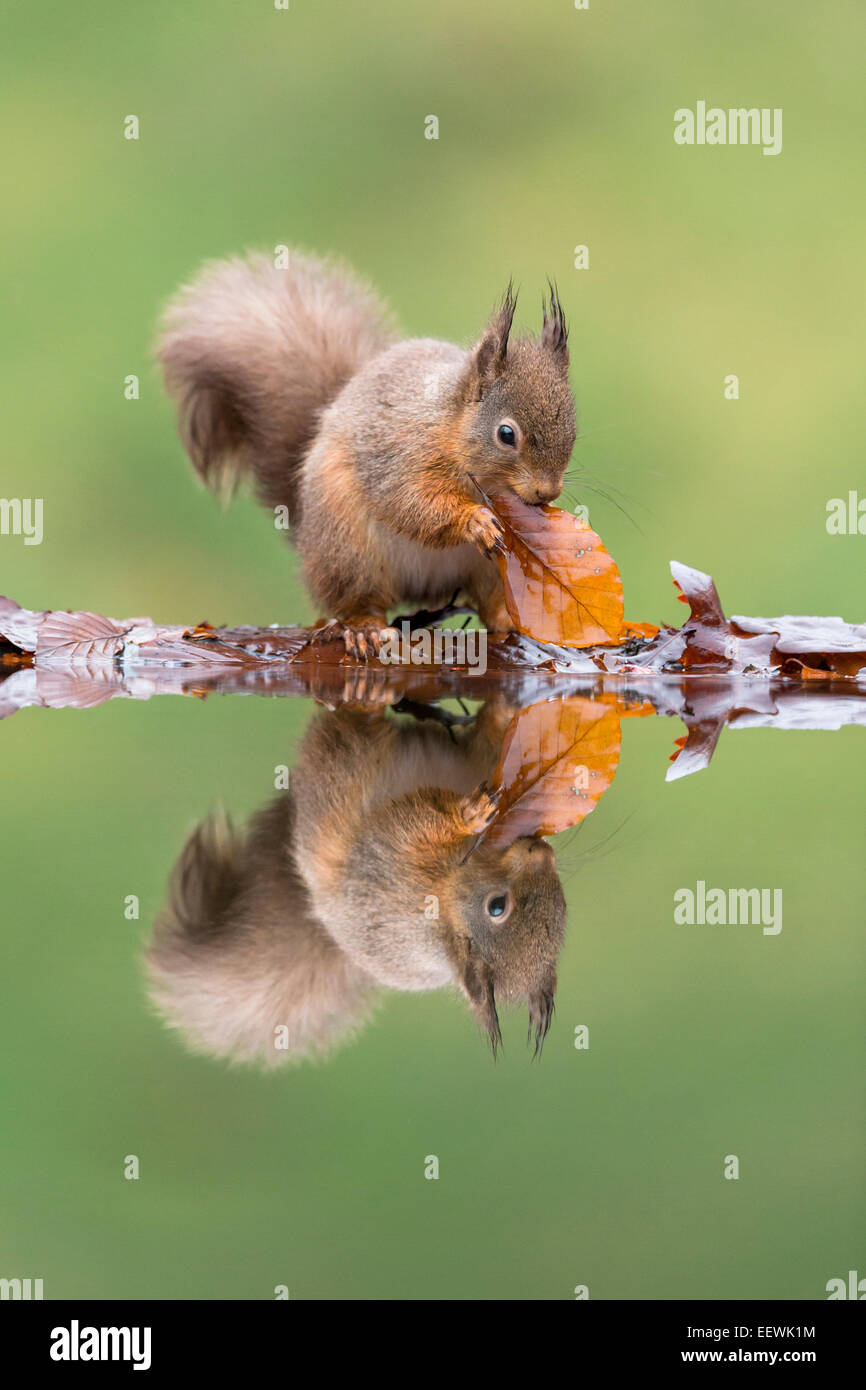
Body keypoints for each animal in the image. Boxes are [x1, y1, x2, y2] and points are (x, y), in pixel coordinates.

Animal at [146, 700, 566, 1065]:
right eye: (497, 906)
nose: (541, 851)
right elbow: (431, 809)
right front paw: (470, 812)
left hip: (344, 764)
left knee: (351, 730)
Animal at [157, 251, 577, 658]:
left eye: (574, 426)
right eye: (506, 434)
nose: (547, 493)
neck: (449, 425)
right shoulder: (400, 455)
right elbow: (409, 502)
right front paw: (474, 521)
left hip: (494, 572)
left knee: (489, 602)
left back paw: (511, 623)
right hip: (348, 550)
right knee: (360, 601)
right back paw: (364, 629)